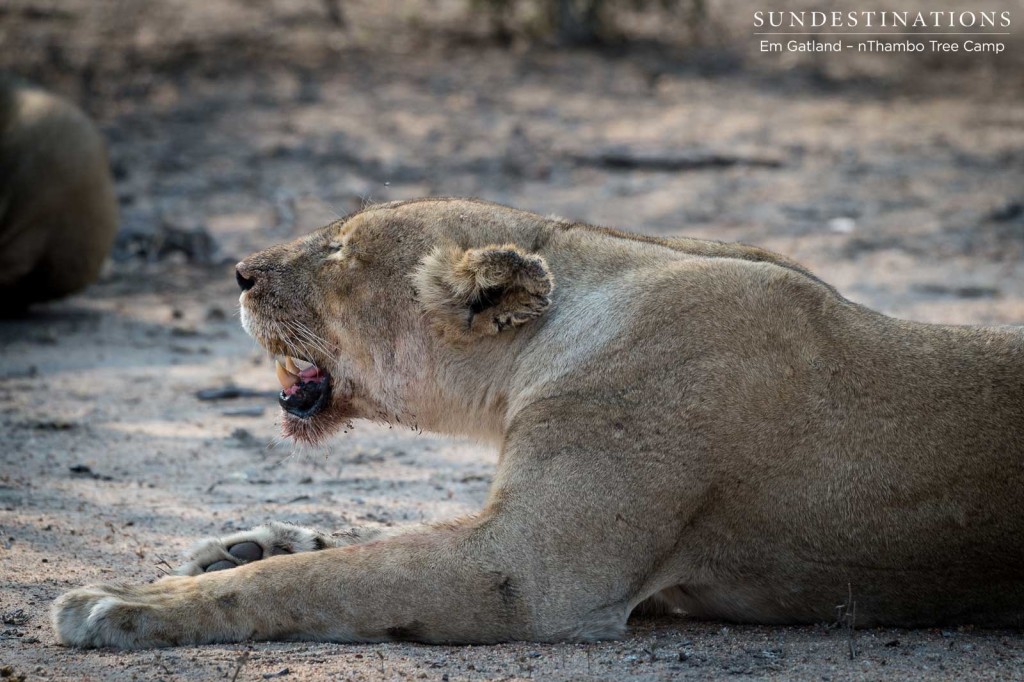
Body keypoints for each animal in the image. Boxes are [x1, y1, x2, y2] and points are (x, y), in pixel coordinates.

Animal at [49, 197, 1024, 647]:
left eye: (337, 249)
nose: (241, 273)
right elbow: (351, 549)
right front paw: (243, 544)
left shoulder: (532, 573)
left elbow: (334, 579)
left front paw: (123, 603)